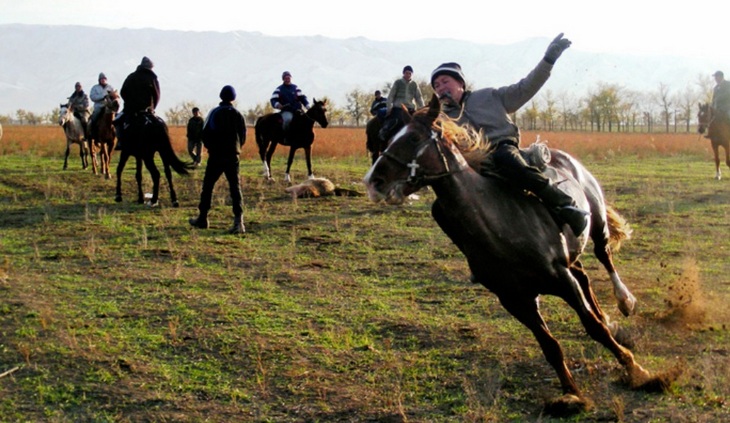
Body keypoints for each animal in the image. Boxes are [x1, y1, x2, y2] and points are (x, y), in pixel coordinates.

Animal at [364, 94, 676, 416]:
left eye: (413, 137)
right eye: (390, 136)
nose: (373, 181)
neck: (500, 228)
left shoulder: (561, 279)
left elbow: (594, 327)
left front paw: (636, 370)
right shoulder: (515, 300)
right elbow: (550, 346)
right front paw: (571, 394)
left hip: (598, 223)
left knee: (604, 258)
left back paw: (624, 301)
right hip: (570, 254)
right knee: (584, 274)